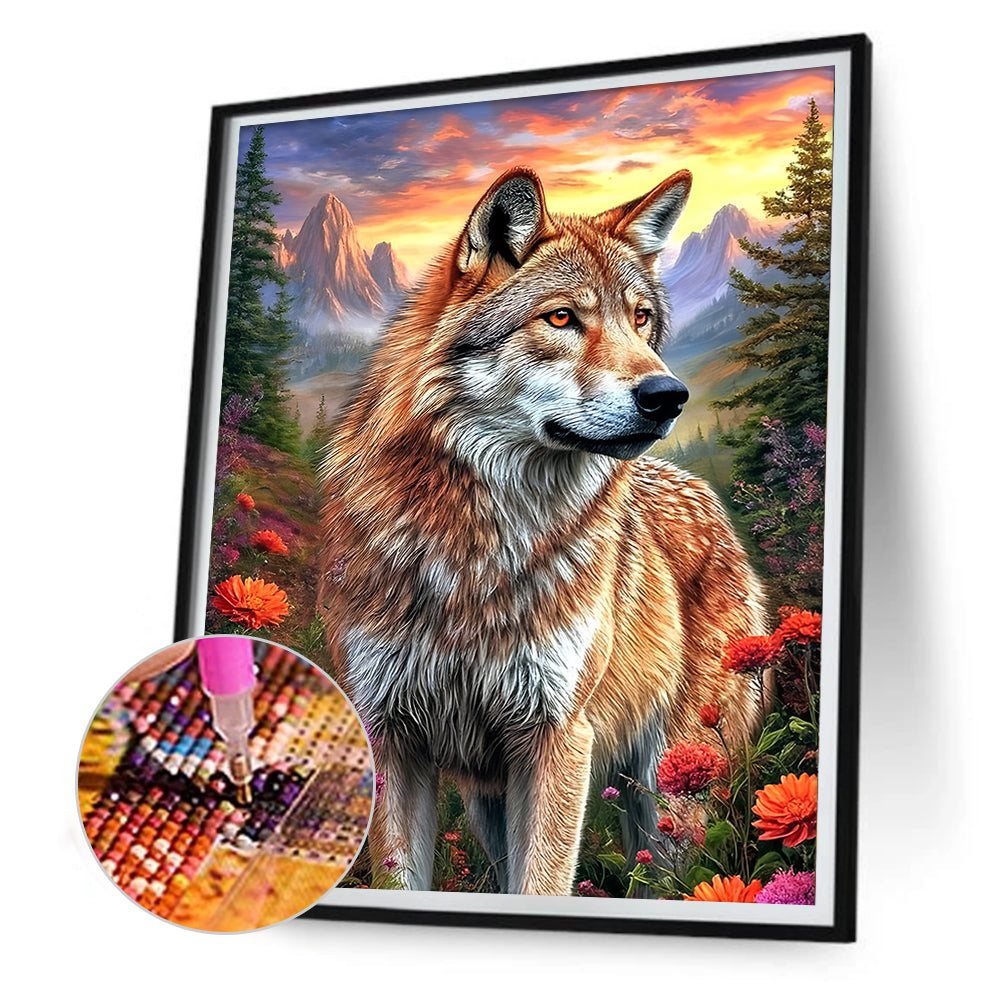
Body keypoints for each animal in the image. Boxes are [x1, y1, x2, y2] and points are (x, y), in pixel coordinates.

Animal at [318, 166, 767, 895]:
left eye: (639, 319)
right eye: (561, 317)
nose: (668, 396)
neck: (476, 546)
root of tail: (708, 500)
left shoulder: (557, 736)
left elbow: (545, 881)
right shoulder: (390, 736)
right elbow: (399, 874)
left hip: (672, 794)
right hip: (492, 802)